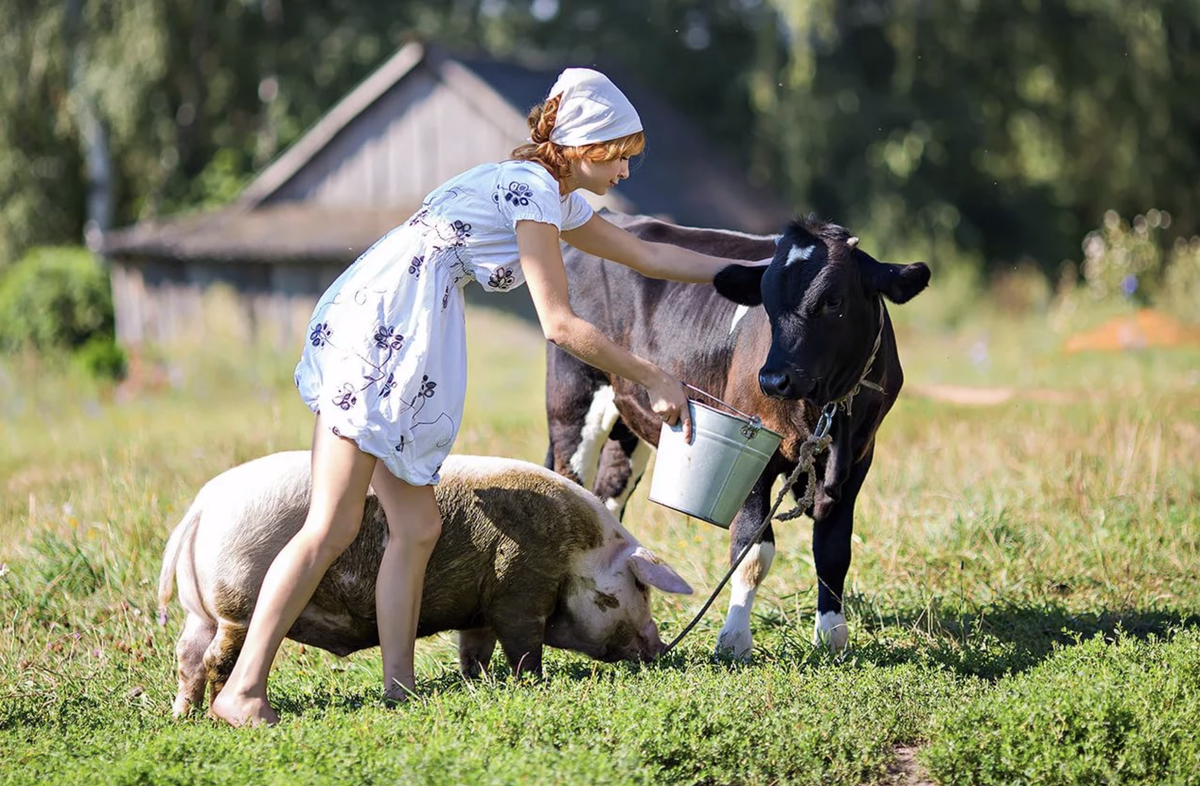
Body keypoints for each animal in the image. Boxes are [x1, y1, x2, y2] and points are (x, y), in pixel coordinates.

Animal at [157, 451, 696, 715]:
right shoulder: (520, 588)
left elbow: (473, 649)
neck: (577, 551)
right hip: (239, 602)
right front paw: (531, 682)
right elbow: (525, 645)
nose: (659, 647)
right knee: (217, 658)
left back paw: (183, 715)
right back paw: (224, 710)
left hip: (200, 613)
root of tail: (200, 509)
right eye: (640, 588)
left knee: (187, 657)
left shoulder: (480, 608)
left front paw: (476, 681)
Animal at [544, 211, 926, 657]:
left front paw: (832, 636)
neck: (825, 408)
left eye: (833, 300)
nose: (774, 378)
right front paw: (734, 639)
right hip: (573, 400)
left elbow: (833, 551)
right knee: (570, 480)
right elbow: (752, 550)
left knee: (608, 495)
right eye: (766, 301)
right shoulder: (756, 458)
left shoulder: (859, 457)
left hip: (628, 422)